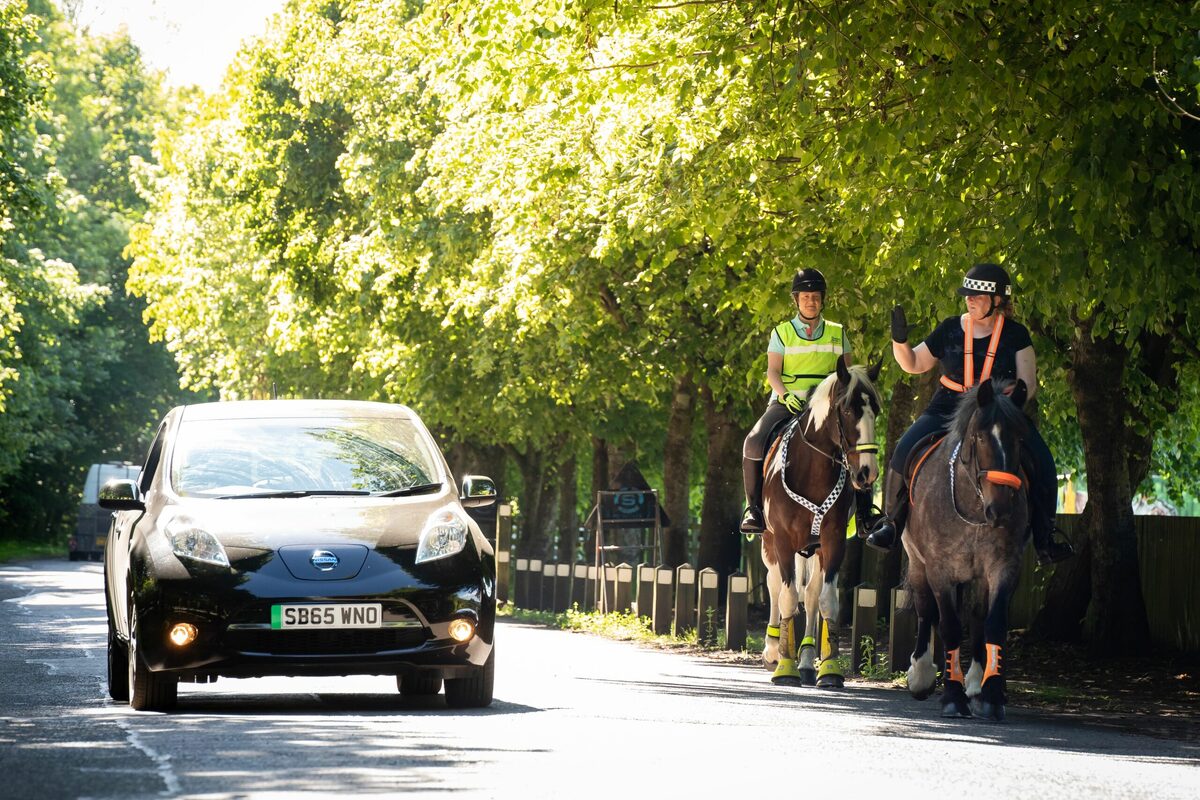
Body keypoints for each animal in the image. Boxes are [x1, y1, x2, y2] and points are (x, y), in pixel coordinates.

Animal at [758, 357, 883, 690]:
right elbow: (788, 598)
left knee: (812, 593)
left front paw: (829, 669)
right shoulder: (783, 541)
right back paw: (773, 650)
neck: (811, 469)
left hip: (814, 549)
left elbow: (827, 600)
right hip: (768, 542)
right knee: (774, 584)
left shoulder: (833, 540)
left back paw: (805, 661)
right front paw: (784, 667)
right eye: (848, 410)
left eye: (876, 410)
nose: (867, 473)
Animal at [902, 379, 1027, 724]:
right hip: (917, 563)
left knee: (977, 615)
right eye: (981, 437)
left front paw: (991, 695)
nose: (1001, 510)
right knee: (925, 610)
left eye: (1019, 438)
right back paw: (922, 675)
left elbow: (993, 623)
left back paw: (974, 680)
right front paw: (952, 697)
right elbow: (949, 625)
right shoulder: (939, 569)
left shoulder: (1003, 567)